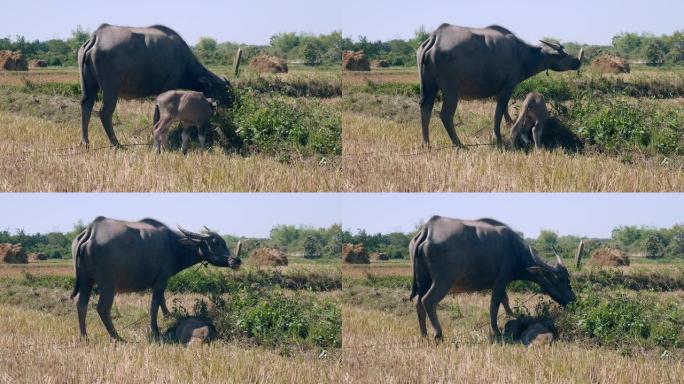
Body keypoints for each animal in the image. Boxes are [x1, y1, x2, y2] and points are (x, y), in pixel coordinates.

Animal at [71, 218, 242, 340]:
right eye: (216, 243)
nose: (236, 260)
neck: (173, 245)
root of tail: (91, 231)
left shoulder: (159, 282)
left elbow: (162, 302)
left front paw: (168, 317)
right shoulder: (161, 281)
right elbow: (154, 306)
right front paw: (155, 332)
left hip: (87, 281)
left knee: (81, 305)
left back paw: (84, 337)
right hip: (108, 285)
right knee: (102, 308)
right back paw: (117, 337)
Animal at [79, 24, 231, 148]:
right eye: (221, 90)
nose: (231, 103)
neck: (183, 59)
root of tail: (97, 37)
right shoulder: (167, 88)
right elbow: (158, 116)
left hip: (90, 86)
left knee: (86, 106)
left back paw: (85, 142)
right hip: (111, 89)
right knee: (105, 112)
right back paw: (116, 143)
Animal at [408, 216, 576, 342]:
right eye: (562, 279)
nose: (573, 299)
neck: (515, 250)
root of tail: (428, 229)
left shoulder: (499, 283)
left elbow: (504, 301)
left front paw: (511, 317)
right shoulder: (501, 281)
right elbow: (494, 305)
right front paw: (496, 331)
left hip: (424, 280)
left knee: (417, 300)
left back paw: (423, 335)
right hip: (443, 281)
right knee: (428, 300)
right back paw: (438, 334)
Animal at [416, 24, 584, 147]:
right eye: (563, 55)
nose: (577, 62)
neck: (522, 54)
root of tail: (435, 37)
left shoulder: (499, 91)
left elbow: (504, 112)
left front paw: (508, 125)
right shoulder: (508, 87)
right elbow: (498, 113)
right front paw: (497, 138)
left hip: (429, 86)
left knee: (425, 108)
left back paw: (426, 143)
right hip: (451, 90)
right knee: (445, 114)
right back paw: (458, 144)